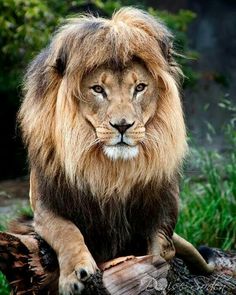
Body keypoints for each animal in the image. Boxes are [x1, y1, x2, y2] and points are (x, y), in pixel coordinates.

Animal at [18, 7, 214, 295]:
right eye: (98, 89)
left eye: (140, 87)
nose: (123, 125)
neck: (110, 170)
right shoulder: (44, 206)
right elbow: (67, 231)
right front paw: (75, 274)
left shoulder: (164, 201)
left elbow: (162, 239)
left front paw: (155, 264)